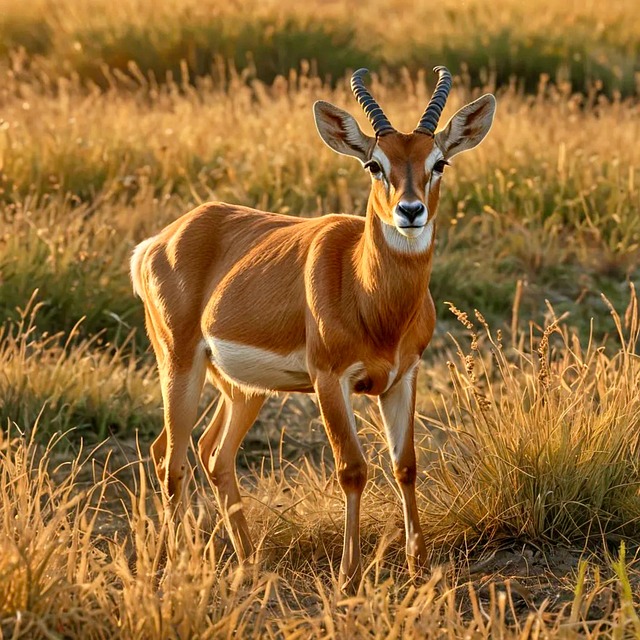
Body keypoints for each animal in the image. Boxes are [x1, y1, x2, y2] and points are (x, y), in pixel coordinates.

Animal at [130, 67, 495, 591]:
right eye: (375, 164)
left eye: (439, 162)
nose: (410, 211)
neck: (368, 292)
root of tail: (159, 240)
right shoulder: (329, 379)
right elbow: (353, 469)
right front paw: (349, 576)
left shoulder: (402, 378)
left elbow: (405, 465)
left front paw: (419, 567)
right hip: (179, 365)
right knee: (170, 456)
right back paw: (173, 567)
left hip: (243, 388)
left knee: (213, 453)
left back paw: (249, 563)